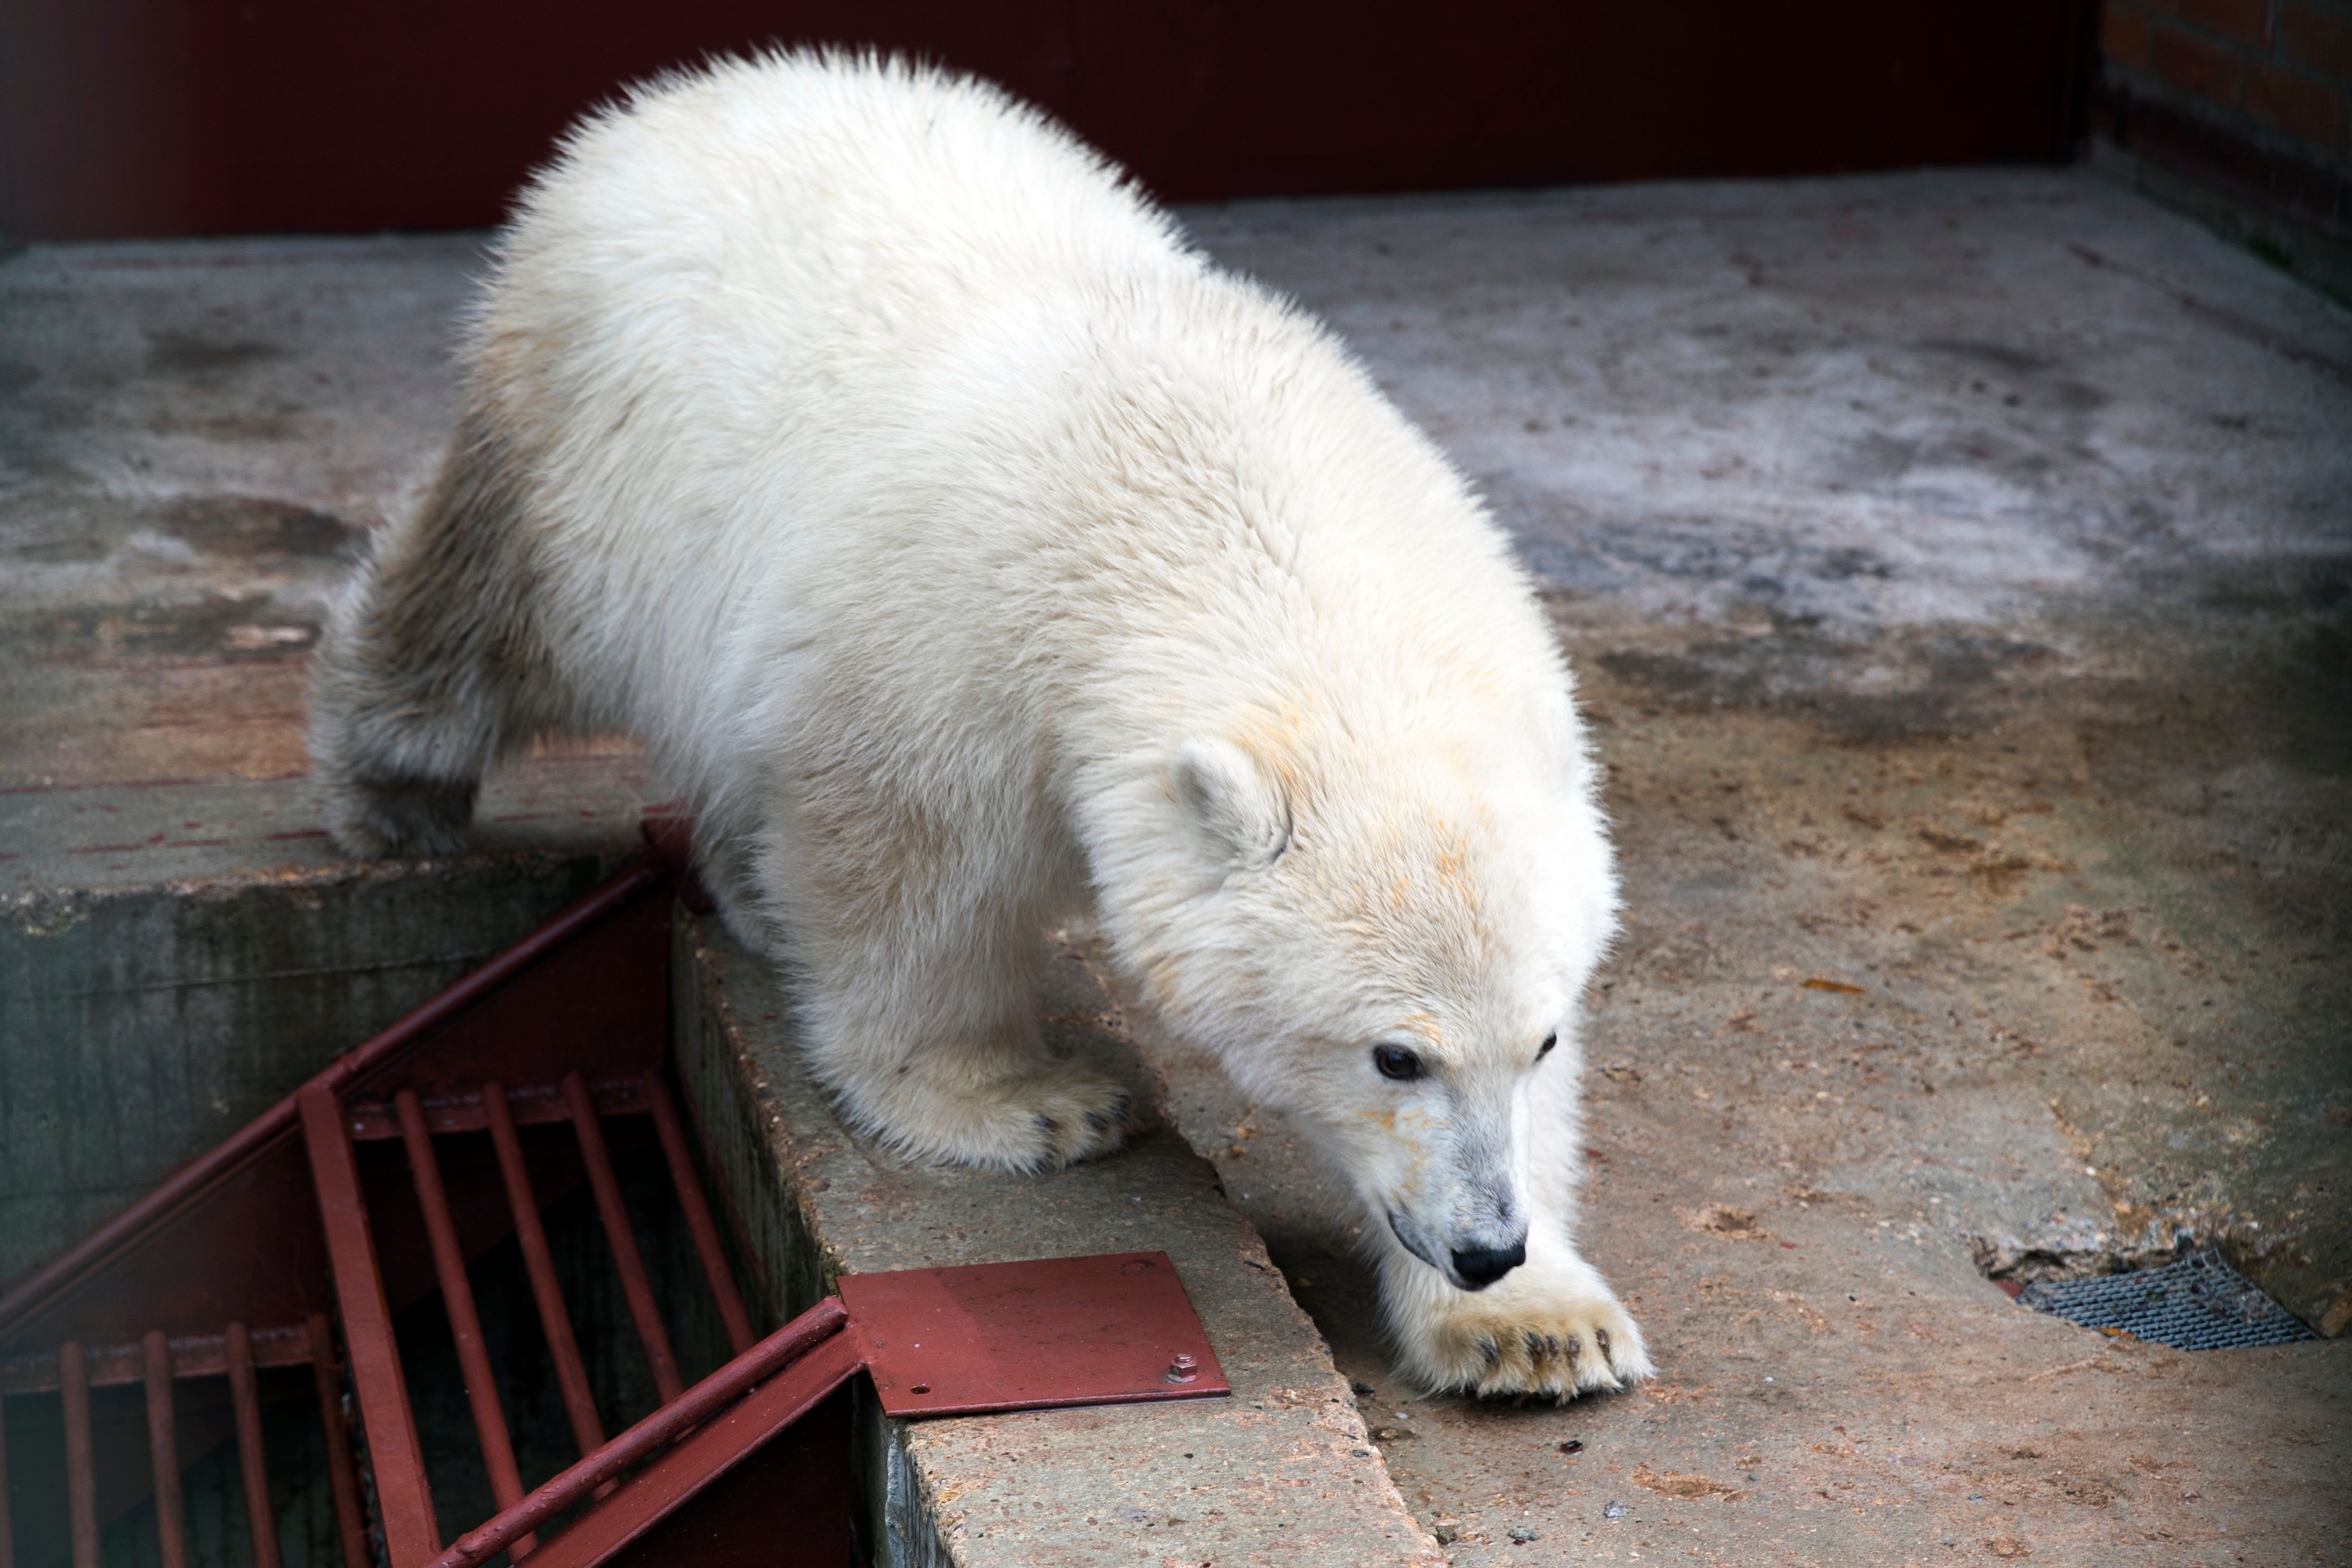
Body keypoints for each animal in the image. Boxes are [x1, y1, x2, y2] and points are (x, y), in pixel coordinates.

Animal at [309, 51, 1651, 1400]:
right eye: (1394, 1054)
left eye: (1540, 1038)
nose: (1484, 1241)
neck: (1221, 510)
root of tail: (696, 92)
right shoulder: (949, 641)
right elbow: (909, 869)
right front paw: (1031, 1100)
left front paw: (1536, 1324)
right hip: (590, 450)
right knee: (484, 612)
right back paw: (393, 789)